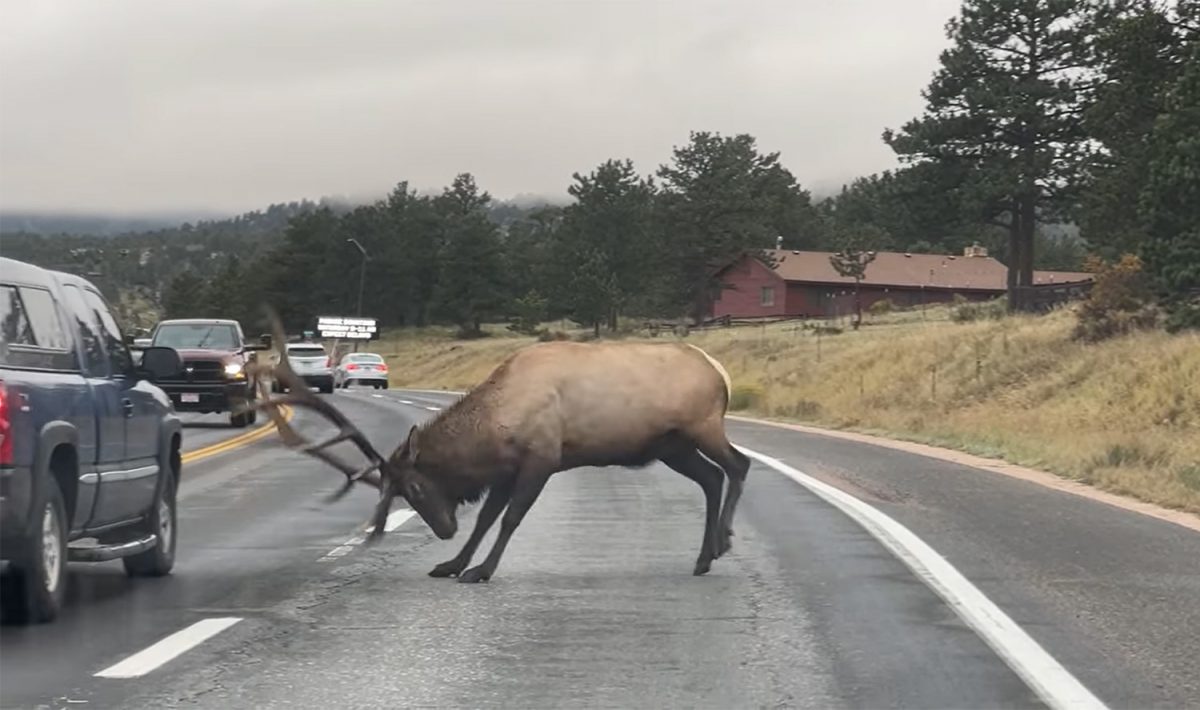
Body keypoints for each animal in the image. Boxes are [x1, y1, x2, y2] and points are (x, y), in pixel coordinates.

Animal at [246, 316, 748, 582]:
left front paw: (481, 570)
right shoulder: (508, 468)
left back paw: (722, 542)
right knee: (711, 477)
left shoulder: (542, 458)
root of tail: (720, 370)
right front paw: (451, 563)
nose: (443, 530)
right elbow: (486, 517)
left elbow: (509, 518)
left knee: (737, 465)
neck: (495, 425)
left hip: (702, 426)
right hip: (671, 446)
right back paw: (704, 556)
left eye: (414, 486)